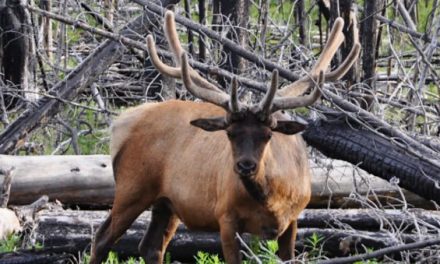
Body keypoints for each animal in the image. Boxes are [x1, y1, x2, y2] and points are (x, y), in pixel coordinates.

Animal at [90, 10, 360, 264]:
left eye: (268, 134)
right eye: (229, 133)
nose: (245, 165)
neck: (272, 200)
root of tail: (121, 122)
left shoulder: (293, 219)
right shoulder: (226, 217)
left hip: (166, 202)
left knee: (151, 246)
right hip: (132, 187)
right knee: (102, 238)